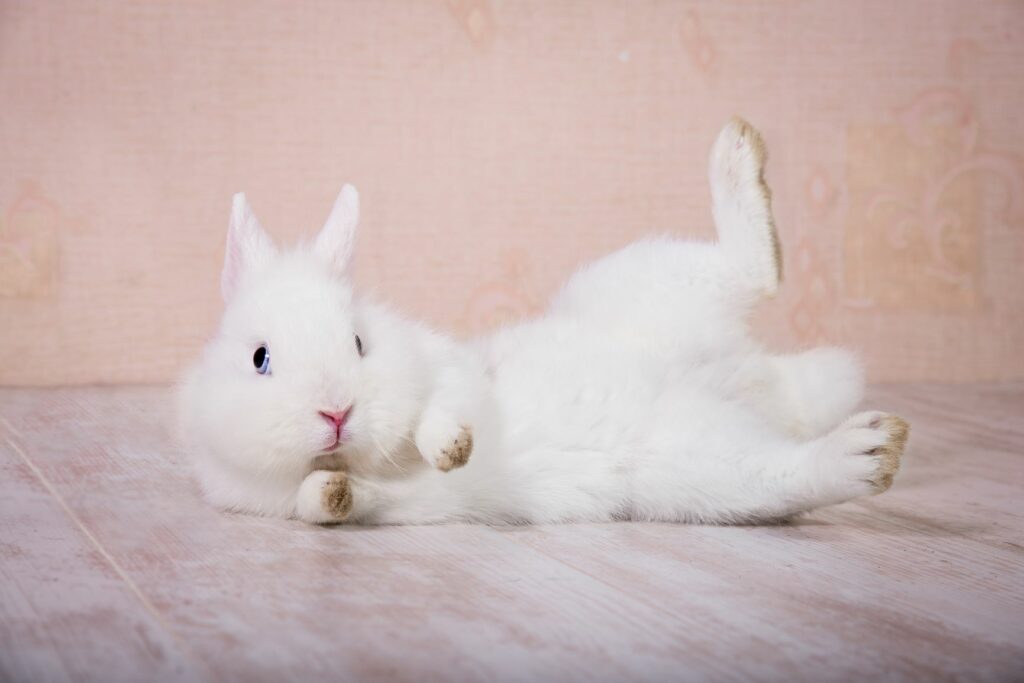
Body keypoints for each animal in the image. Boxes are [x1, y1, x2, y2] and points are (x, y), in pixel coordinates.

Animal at [180, 117, 909, 528]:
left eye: (359, 341)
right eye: (260, 359)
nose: (336, 411)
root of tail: (751, 377)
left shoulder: (444, 364)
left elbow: (443, 404)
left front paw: (450, 447)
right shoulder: (301, 498)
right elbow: (326, 500)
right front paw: (333, 489)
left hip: (646, 280)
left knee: (756, 267)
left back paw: (736, 154)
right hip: (693, 468)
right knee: (791, 466)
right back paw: (869, 453)